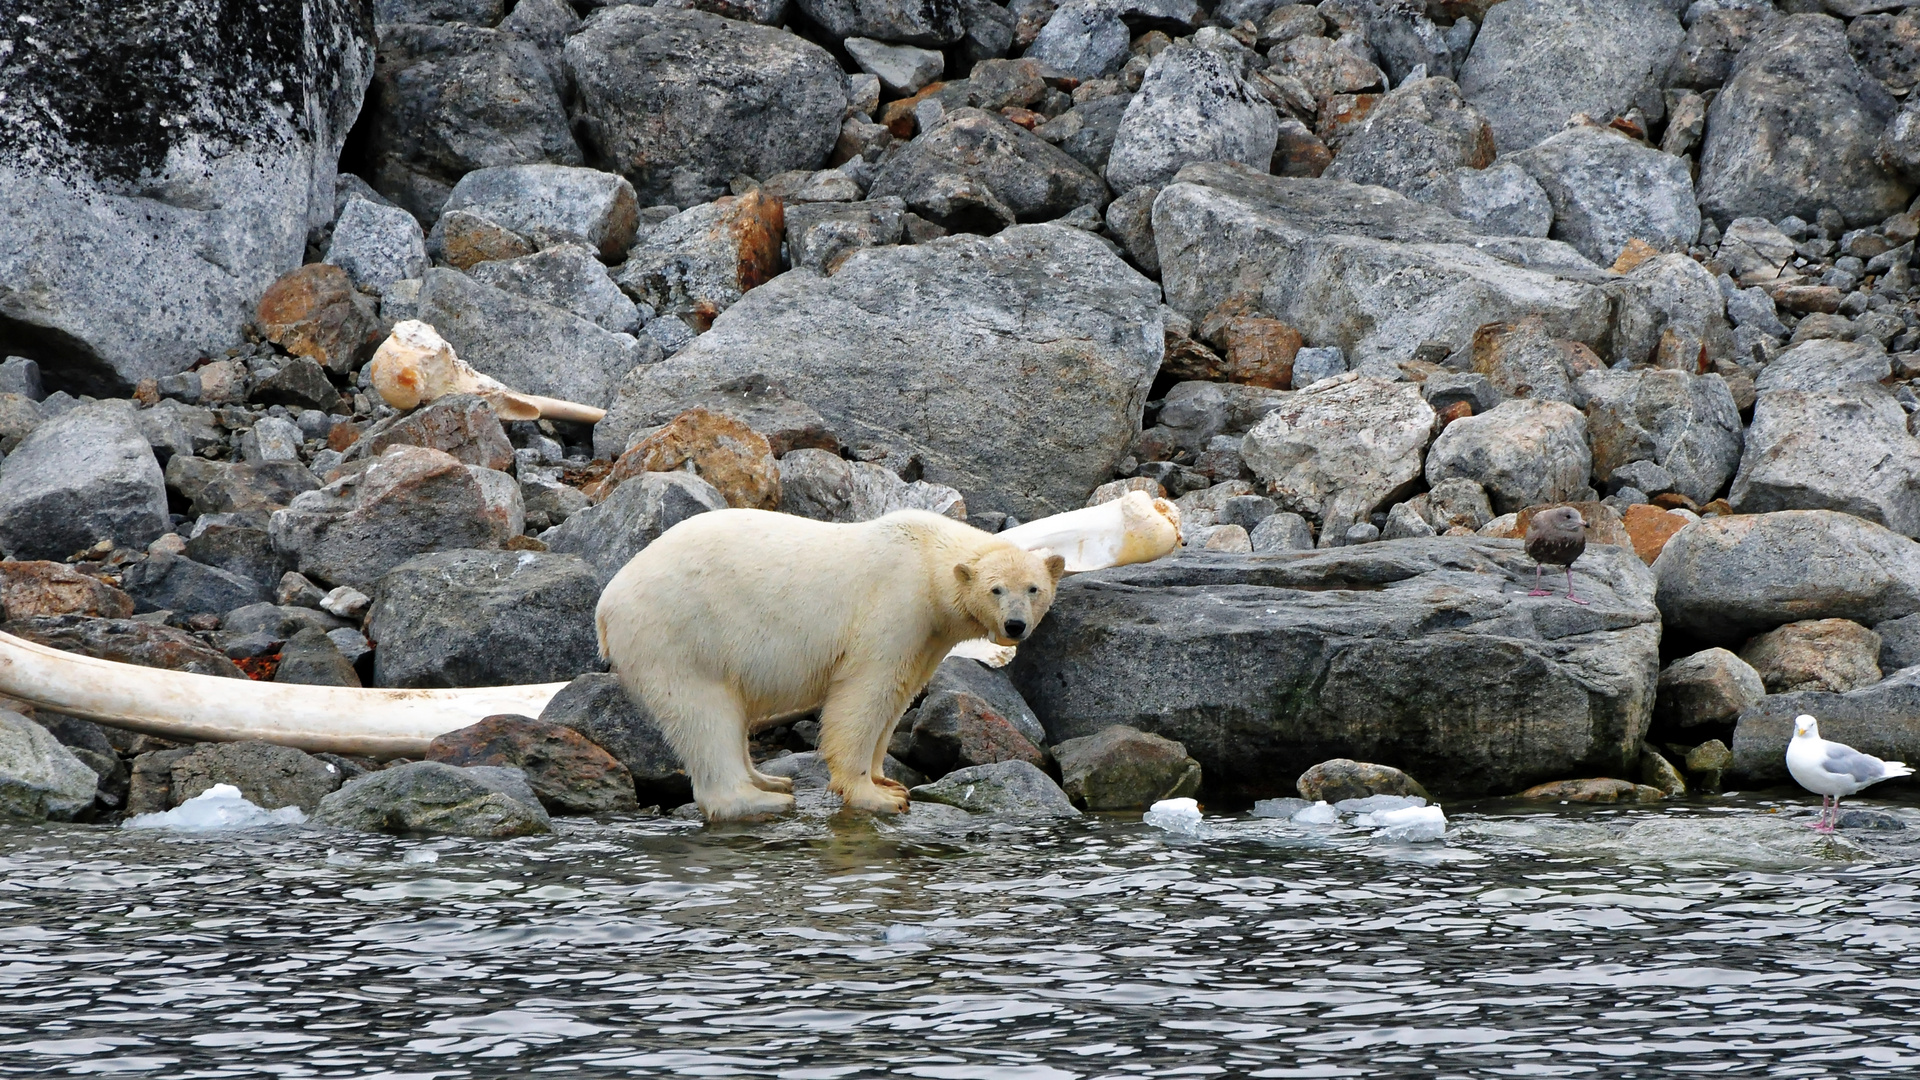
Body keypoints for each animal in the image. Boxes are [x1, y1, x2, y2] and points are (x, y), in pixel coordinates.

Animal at [595, 503, 1067, 814]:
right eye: (996, 589)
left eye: (1033, 589)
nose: (1014, 626)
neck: (926, 556)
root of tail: (607, 603)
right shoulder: (896, 606)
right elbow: (864, 694)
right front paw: (876, 796)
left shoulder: (928, 635)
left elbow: (899, 694)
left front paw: (886, 779)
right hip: (679, 634)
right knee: (704, 714)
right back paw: (760, 800)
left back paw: (770, 779)